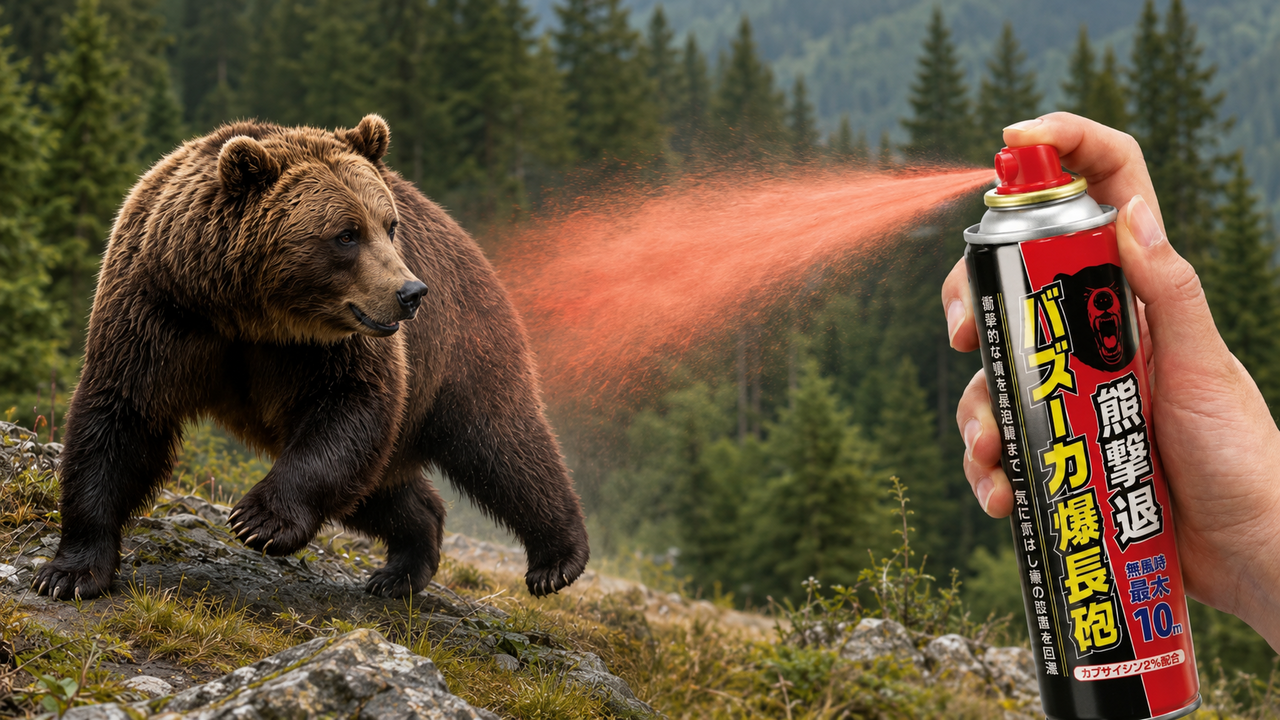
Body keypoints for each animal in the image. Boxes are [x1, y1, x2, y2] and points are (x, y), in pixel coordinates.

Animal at [33, 114, 590, 601]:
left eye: (389, 225)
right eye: (346, 234)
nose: (410, 293)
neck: (248, 311)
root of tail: (473, 249)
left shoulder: (332, 348)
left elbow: (350, 409)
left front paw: (258, 520)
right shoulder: (160, 308)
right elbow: (121, 416)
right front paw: (69, 572)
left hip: (461, 346)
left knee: (503, 447)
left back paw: (556, 560)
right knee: (384, 487)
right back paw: (403, 565)